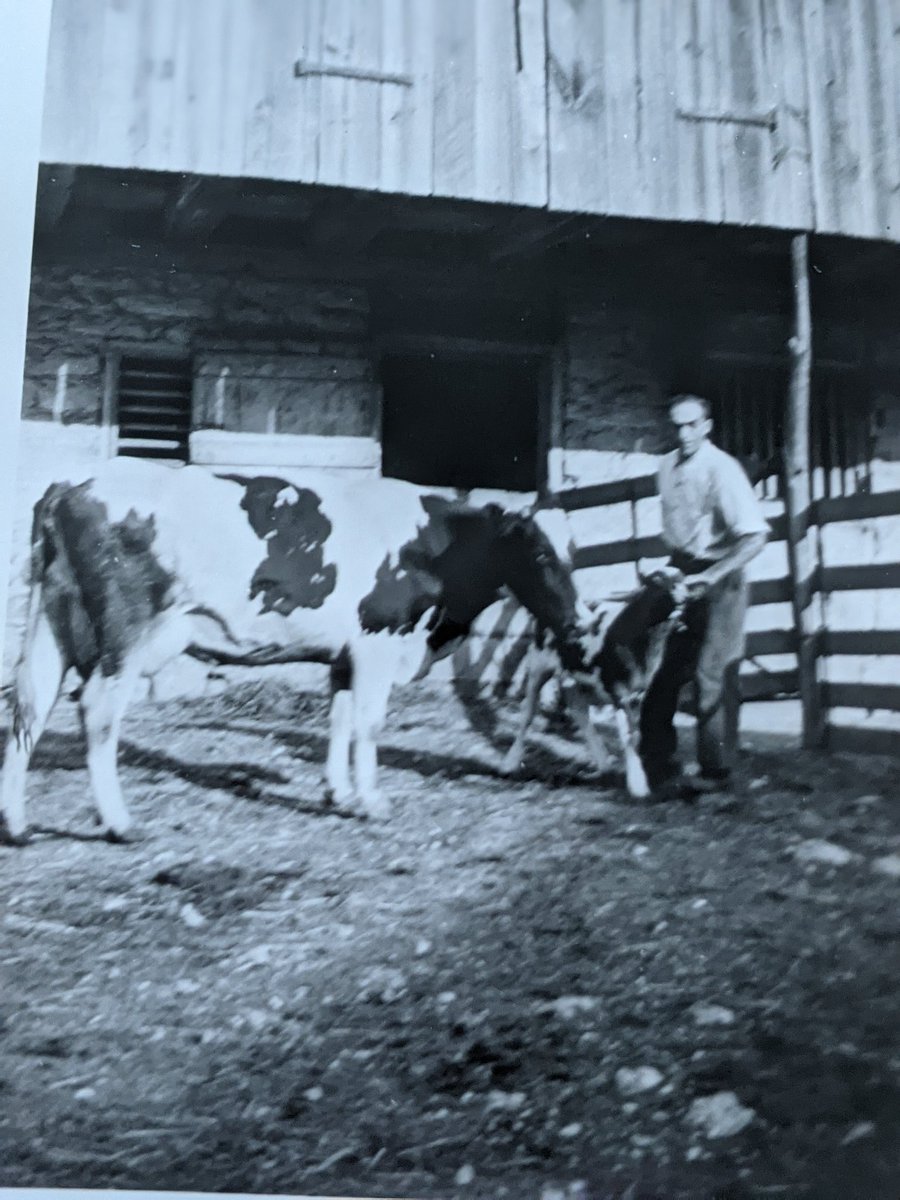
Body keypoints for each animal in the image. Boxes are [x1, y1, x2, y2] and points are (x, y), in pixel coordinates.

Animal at [501, 568, 691, 796]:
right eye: (660, 584)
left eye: (682, 581)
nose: (686, 598)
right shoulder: (618, 692)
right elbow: (628, 736)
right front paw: (638, 786)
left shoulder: (638, 693)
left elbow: (635, 735)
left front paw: (636, 779)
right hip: (539, 666)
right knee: (528, 713)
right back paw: (510, 763)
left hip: (575, 677)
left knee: (579, 711)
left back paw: (604, 764)